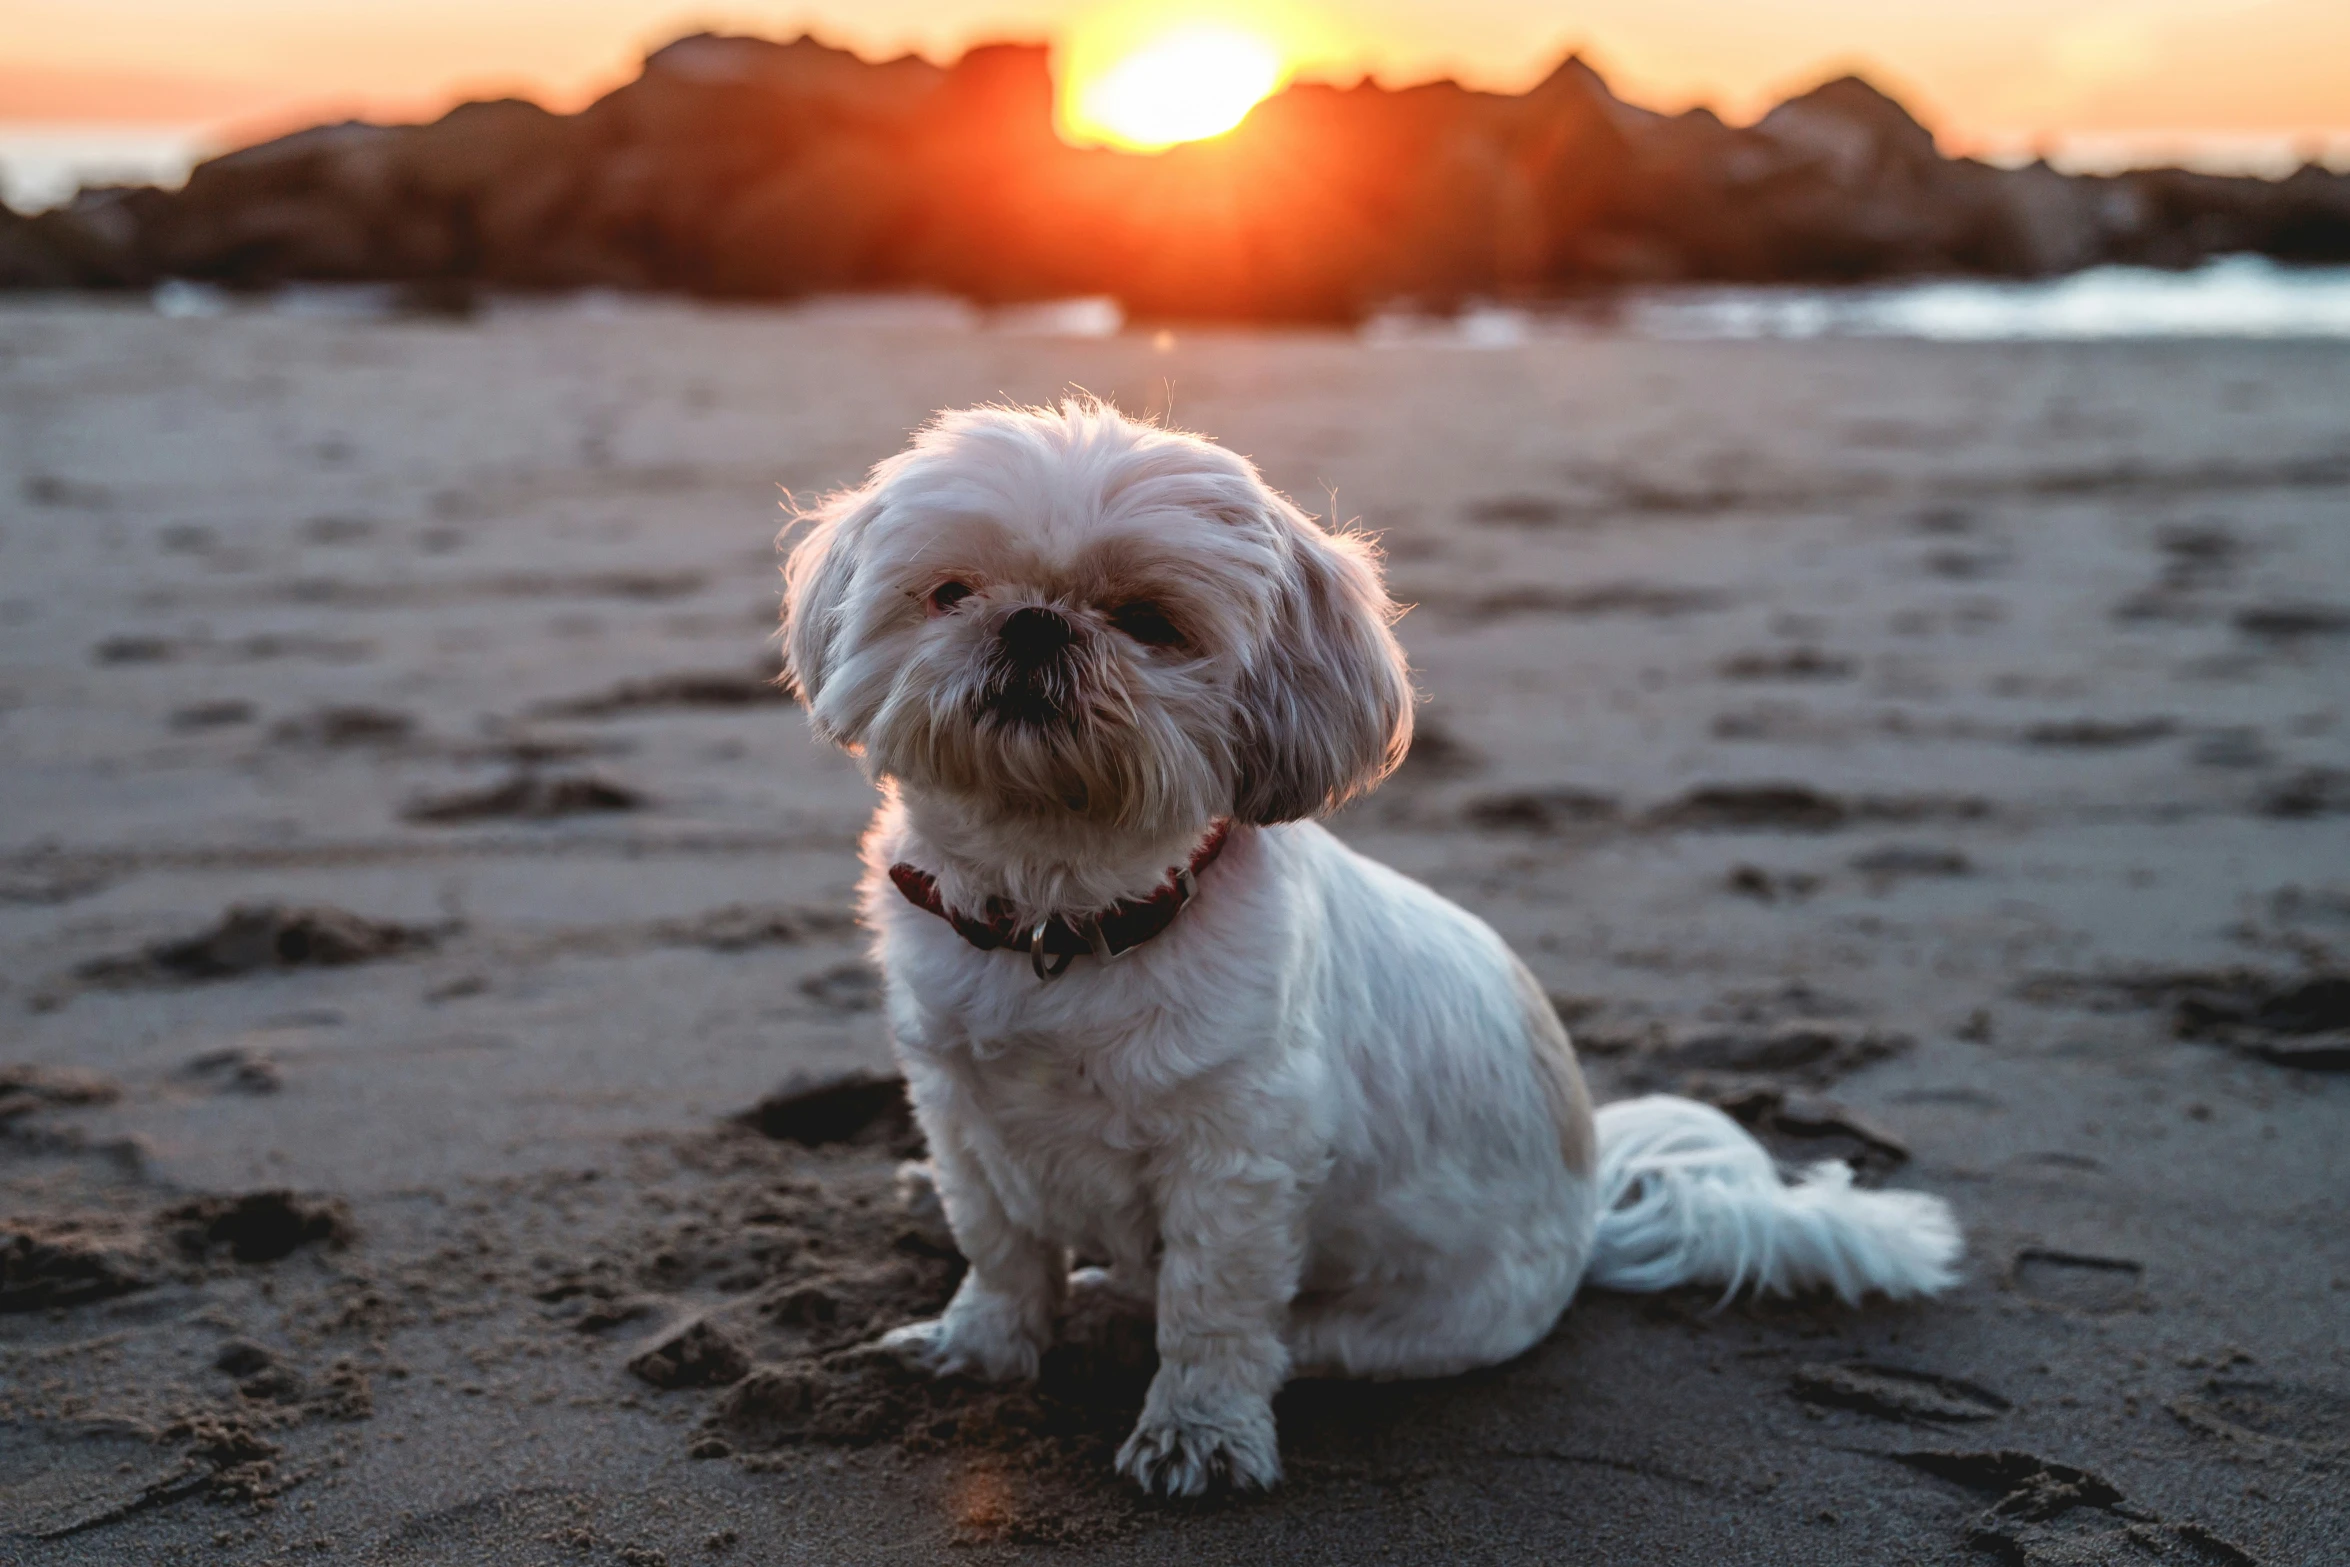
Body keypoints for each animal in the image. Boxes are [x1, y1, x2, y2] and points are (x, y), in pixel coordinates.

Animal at [780, 401, 1955, 1494]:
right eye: (950, 593)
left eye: (1149, 622)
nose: (1031, 624)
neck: (1058, 917)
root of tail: (1587, 1226)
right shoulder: (963, 1110)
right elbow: (1000, 1246)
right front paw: (978, 1348)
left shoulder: (1239, 1159)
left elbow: (1210, 1311)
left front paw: (1197, 1433)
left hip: (1400, 1323)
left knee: (1280, 1337)